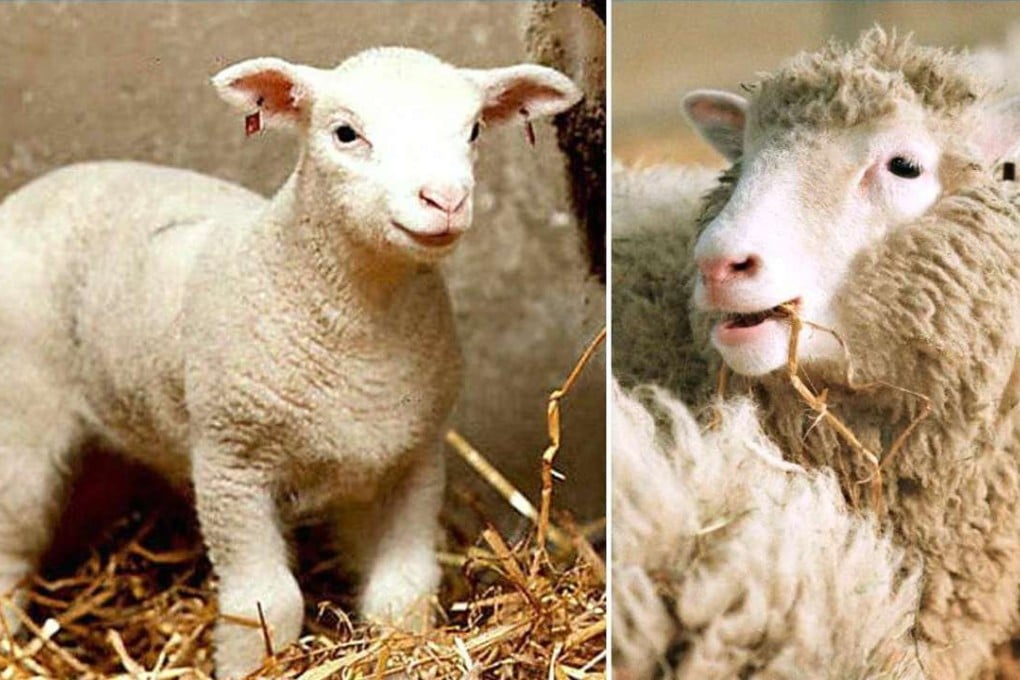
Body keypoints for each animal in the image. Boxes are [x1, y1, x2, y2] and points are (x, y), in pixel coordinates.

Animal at [0, 47, 580, 678]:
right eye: (345, 133)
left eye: (473, 130)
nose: (445, 199)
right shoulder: (232, 465)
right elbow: (265, 602)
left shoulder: (414, 460)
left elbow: (403, 589)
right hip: (21, 417)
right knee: (12, 541)